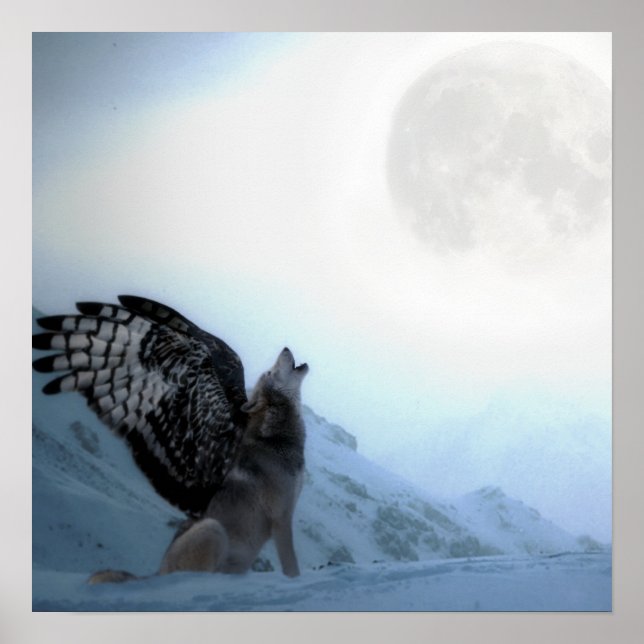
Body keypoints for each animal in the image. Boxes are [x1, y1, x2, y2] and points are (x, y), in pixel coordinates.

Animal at [88, 347, 308, 583]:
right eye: (269, 372)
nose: (285, 348)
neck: (276, 440)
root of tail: (157, 572)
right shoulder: (282, 517)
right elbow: (292, 564)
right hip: (213, 529)